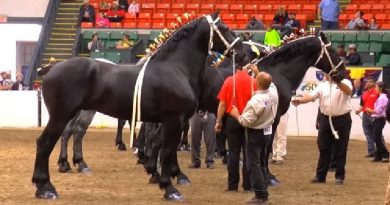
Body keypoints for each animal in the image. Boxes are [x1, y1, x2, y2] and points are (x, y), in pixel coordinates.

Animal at [32, 11, 247, 200]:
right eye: (225, 28)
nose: (243, 53)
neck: (175, 68)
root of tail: (53, 67)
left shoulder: (169, 121)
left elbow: (163, 148)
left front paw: (165, 176)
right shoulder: (174, 120)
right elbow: (167, 150)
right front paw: (170, 188)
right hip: (61, 116)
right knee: (46, 143)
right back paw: (46, 187)